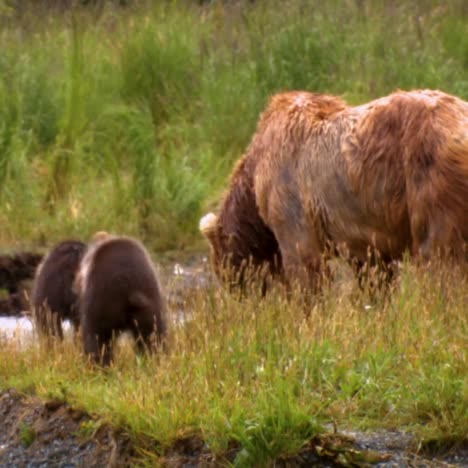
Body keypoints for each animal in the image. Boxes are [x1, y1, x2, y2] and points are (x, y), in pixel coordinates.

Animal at [200, 89, 468, 290]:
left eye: (223, 270)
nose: (239, 297)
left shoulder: (288, 195)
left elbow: (304, 264)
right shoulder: (364, 235)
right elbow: (374, 272)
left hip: (431, 182)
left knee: (439, 256)